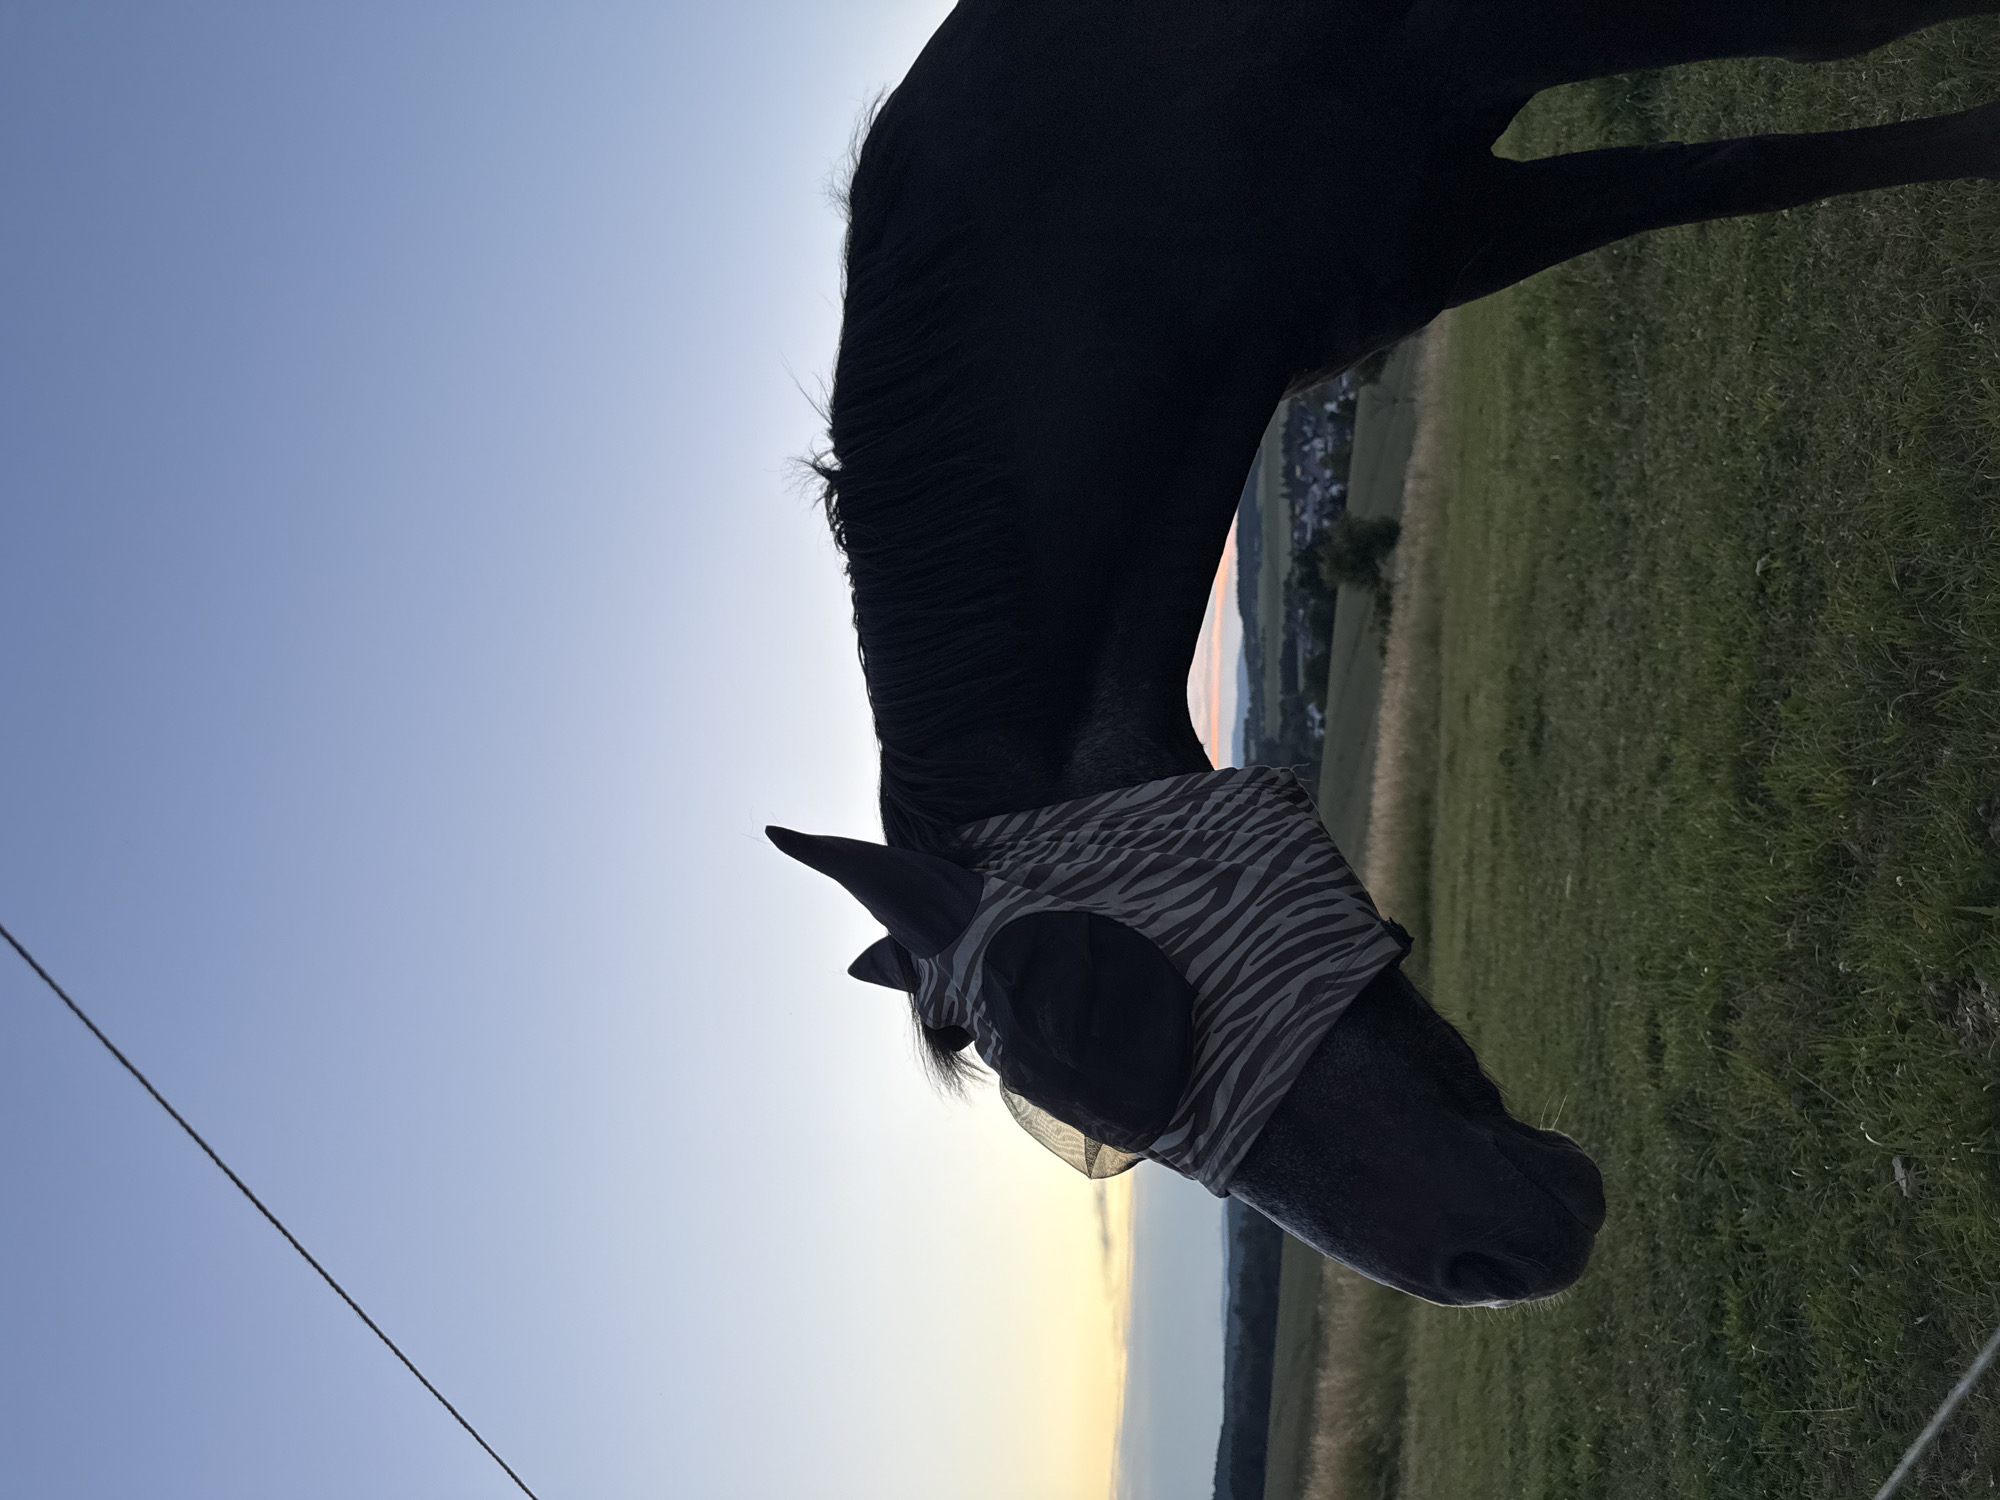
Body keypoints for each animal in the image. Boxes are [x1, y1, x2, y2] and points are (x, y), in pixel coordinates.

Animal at [775, 0, 2000, 1306]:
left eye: (1094, 1008)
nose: (1487, 1265)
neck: (1120, 171)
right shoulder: (1432, 231)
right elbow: (1758, 167)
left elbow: (1797, 111)